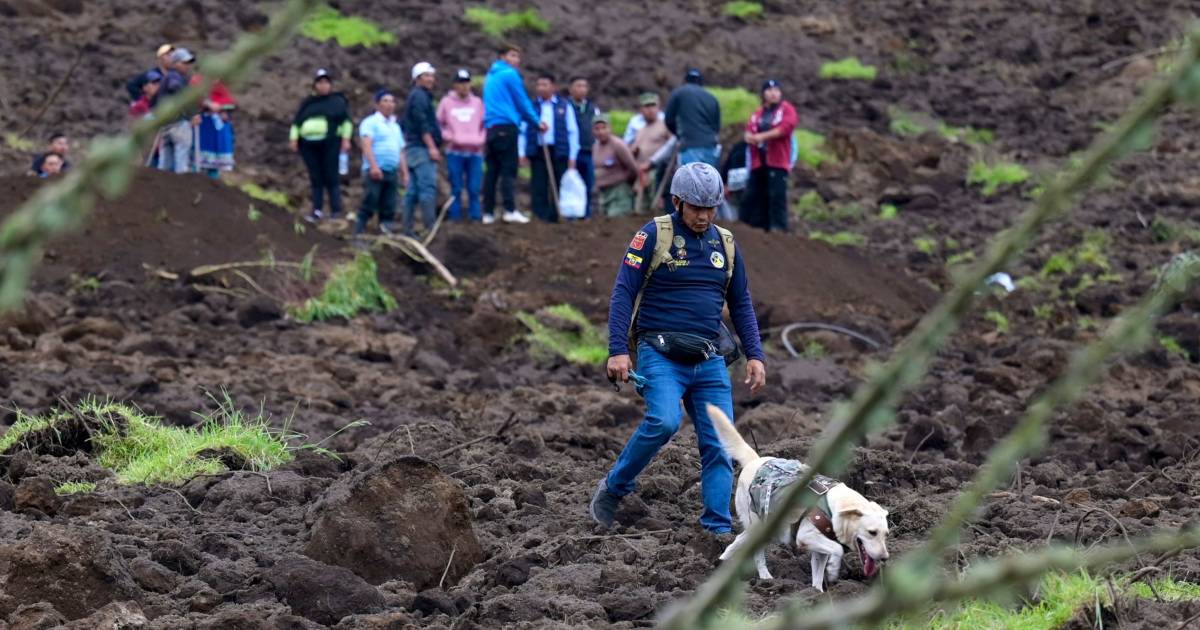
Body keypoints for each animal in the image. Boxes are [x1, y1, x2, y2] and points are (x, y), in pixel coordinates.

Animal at [700, 403, 892, 590]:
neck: (833, 507)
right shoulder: (805, 537)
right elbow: (836, 549)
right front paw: (833, 569)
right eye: (872, 532)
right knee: (750, 547)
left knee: (741, 540)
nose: (885, 558)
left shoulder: (819, 549)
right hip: (760, 524)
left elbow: (818, 572)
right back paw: (760, 575)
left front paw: (816, 592)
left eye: (886, 534)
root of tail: (755, 461)